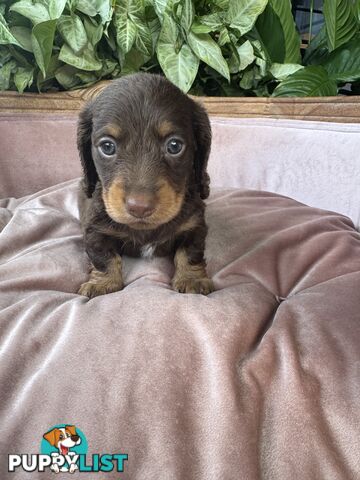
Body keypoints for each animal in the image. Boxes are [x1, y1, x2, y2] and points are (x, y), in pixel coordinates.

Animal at [77, 72, 212, 296]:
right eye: (107, 146)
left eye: (174, 145)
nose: (139, 207)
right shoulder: (95, 229)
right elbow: (103, 256)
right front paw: (103, 283)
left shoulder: (195, 225)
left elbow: (190, 252)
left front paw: (192, 279)